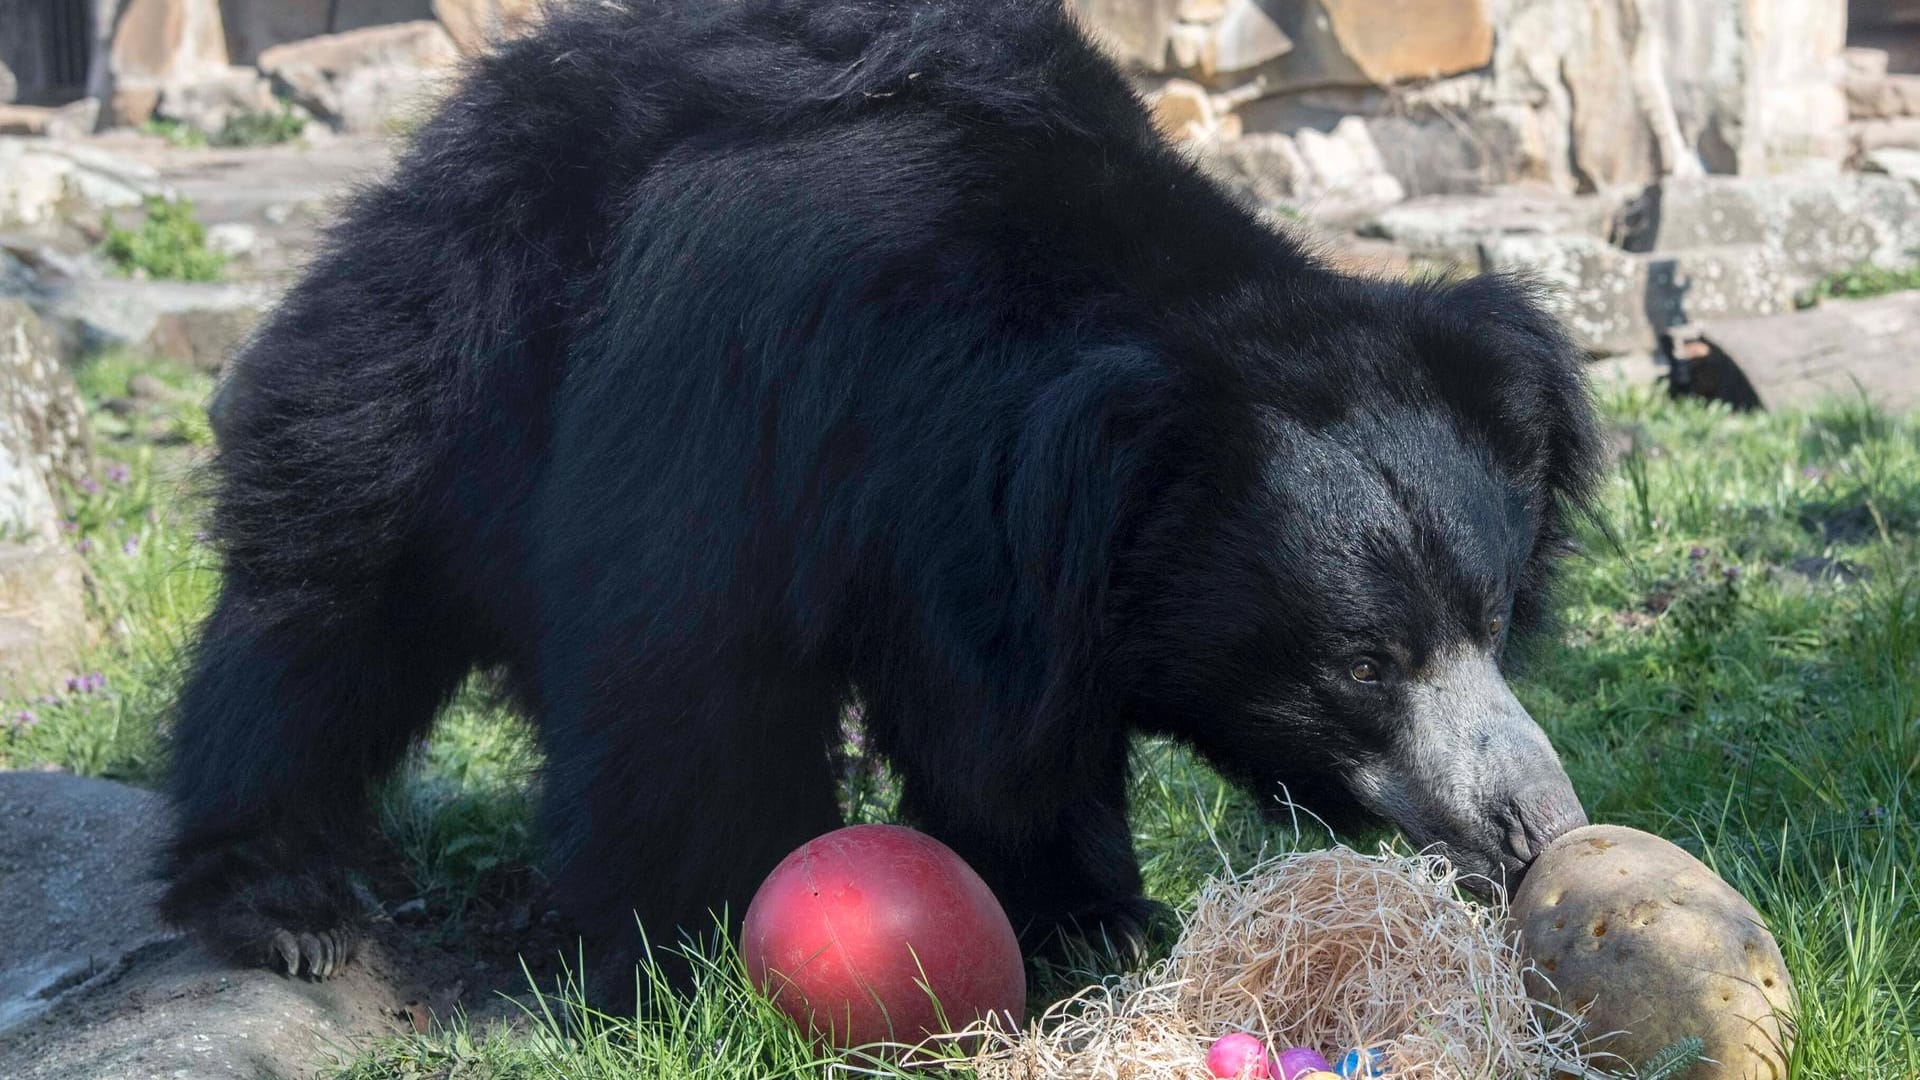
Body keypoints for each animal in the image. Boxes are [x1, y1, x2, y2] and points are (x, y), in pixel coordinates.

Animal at [165, 0, 1605, 983]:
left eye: (1487, 625)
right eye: (1362, 664)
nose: (1539, 825)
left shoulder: (994, 572)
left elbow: (1015, 743)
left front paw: (1089, 920)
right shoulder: (749, 387)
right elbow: (685, 666)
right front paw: (686, 948)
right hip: (450, 341)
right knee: (330, 590)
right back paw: (284, 901)